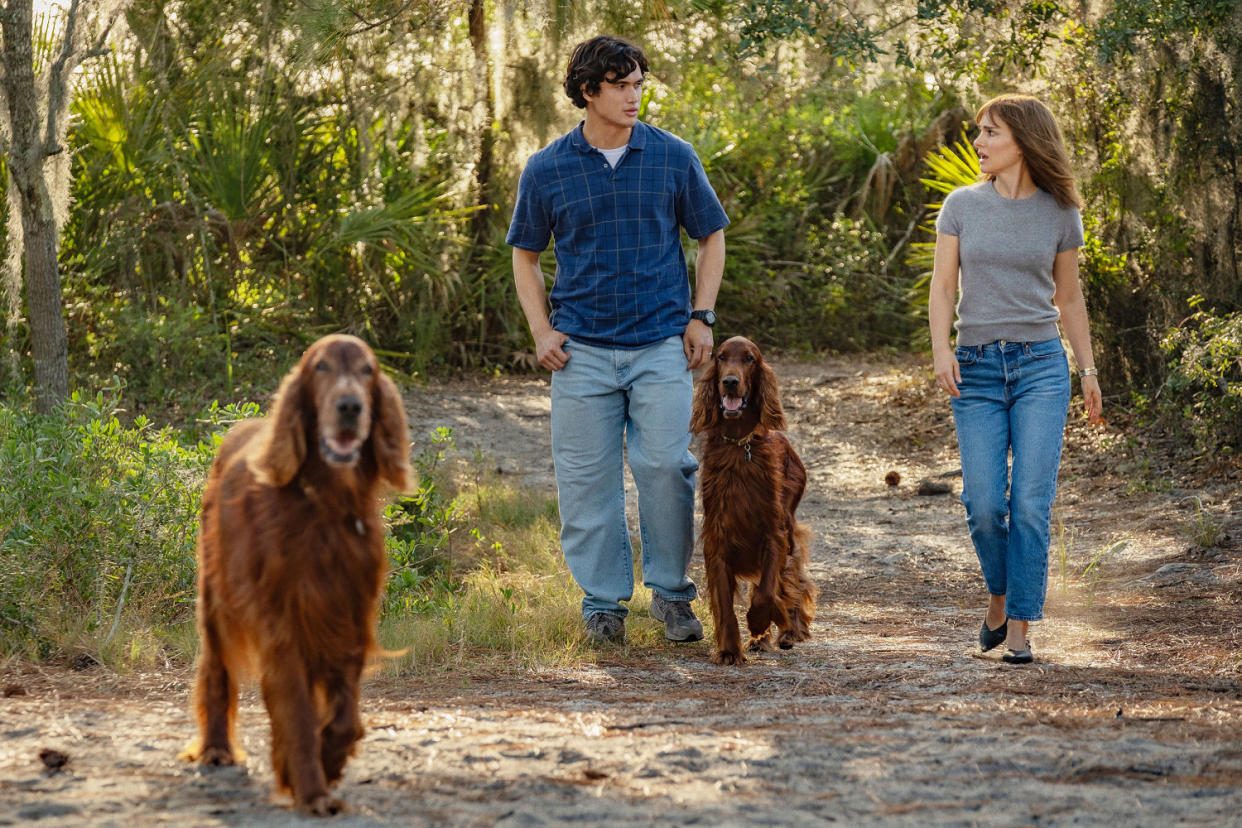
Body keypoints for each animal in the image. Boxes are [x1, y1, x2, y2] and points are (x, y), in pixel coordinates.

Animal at [181, 332, 409, 814]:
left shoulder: (348, 616)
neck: (323, 504)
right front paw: (310, 788)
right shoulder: (281, 622)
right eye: (321, 368)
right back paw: (216, 749)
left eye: (368, 370)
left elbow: (345, 717)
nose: (349, 406)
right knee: (216, 673)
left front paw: (331, 761)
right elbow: (298, 712)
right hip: (216, 599)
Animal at [690, 337, 814, 665]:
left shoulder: (773, 534)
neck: (738, 445)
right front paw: (730, 650)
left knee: (792, 581)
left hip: (788, 529)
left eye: (749, 359)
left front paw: (761, 621)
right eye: (721, 357)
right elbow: (725, 603)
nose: (730, 382)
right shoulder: (718, 541)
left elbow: (767, 592)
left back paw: (789, 631)